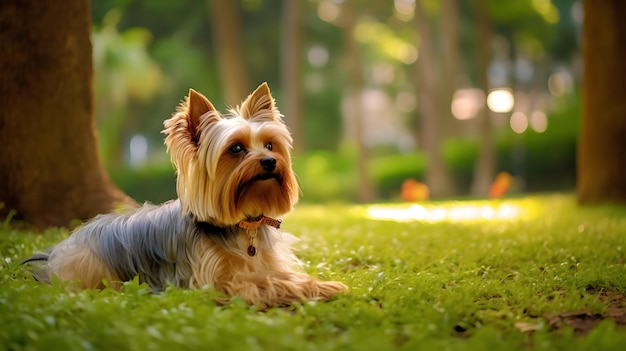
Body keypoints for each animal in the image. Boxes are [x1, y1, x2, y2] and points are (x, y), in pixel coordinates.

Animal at [24, 83, 346, 308]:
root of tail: (58, 250)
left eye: (269, 145)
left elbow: (280, 275)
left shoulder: (268, 262)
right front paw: (317, 288)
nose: (269, 162)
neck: (243, 225)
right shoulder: (213, 282)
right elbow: (261, 283)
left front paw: (320, 284)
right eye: (236, 149)